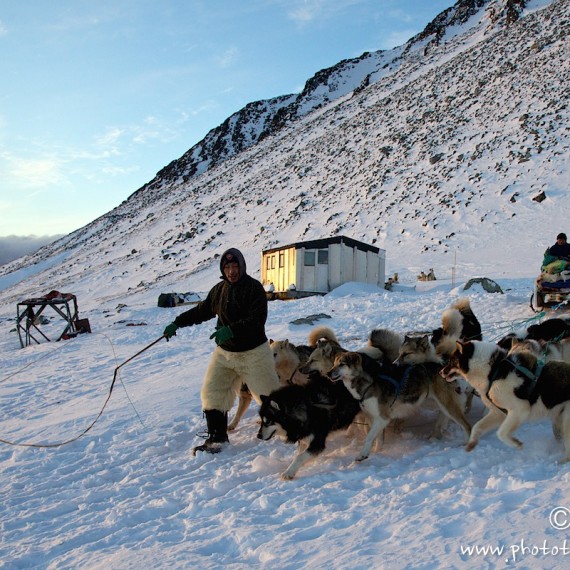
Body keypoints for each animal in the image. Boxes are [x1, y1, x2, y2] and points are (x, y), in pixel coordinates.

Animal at [326, 350, 468, 462]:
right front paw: (378, 453)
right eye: (333, 364)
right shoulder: (374, 419)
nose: (328, 373)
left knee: (466, 425)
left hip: (445, 404)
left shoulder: (382, 418)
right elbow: (378, 439)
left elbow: (369, 438)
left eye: (342, 364)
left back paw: (465, 443)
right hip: (429, 402)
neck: (370, 381)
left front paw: (362, 455)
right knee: (444, 413)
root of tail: (442, 368)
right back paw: (438, 429)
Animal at [442, 338, 570, 462]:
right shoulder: (498, 413)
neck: (492, 371)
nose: (440, 372)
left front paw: (516, 444)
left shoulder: (519, 410)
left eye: (451, 361)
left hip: (566, 422)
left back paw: (561, 461)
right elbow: (477, 427)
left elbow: (501, 433)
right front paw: (471, 444)